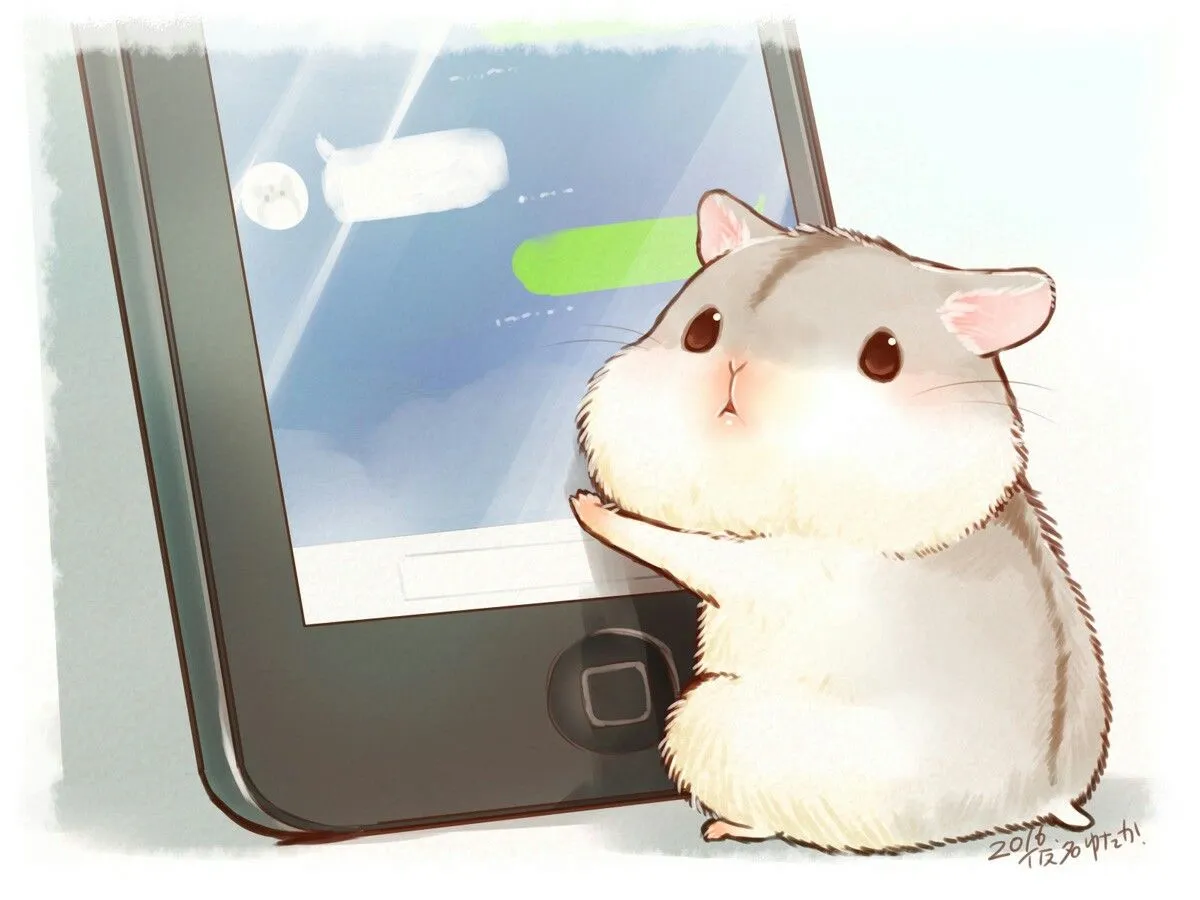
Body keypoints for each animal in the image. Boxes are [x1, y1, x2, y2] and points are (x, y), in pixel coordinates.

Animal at [569, 189, 1110, 855]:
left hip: (712, 720)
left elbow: (688, 551)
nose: (737, 368)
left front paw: (586, 506)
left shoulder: (791, 568)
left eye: (883, 357)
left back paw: (724, 825)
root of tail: (1044, 802)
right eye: (701, 330)